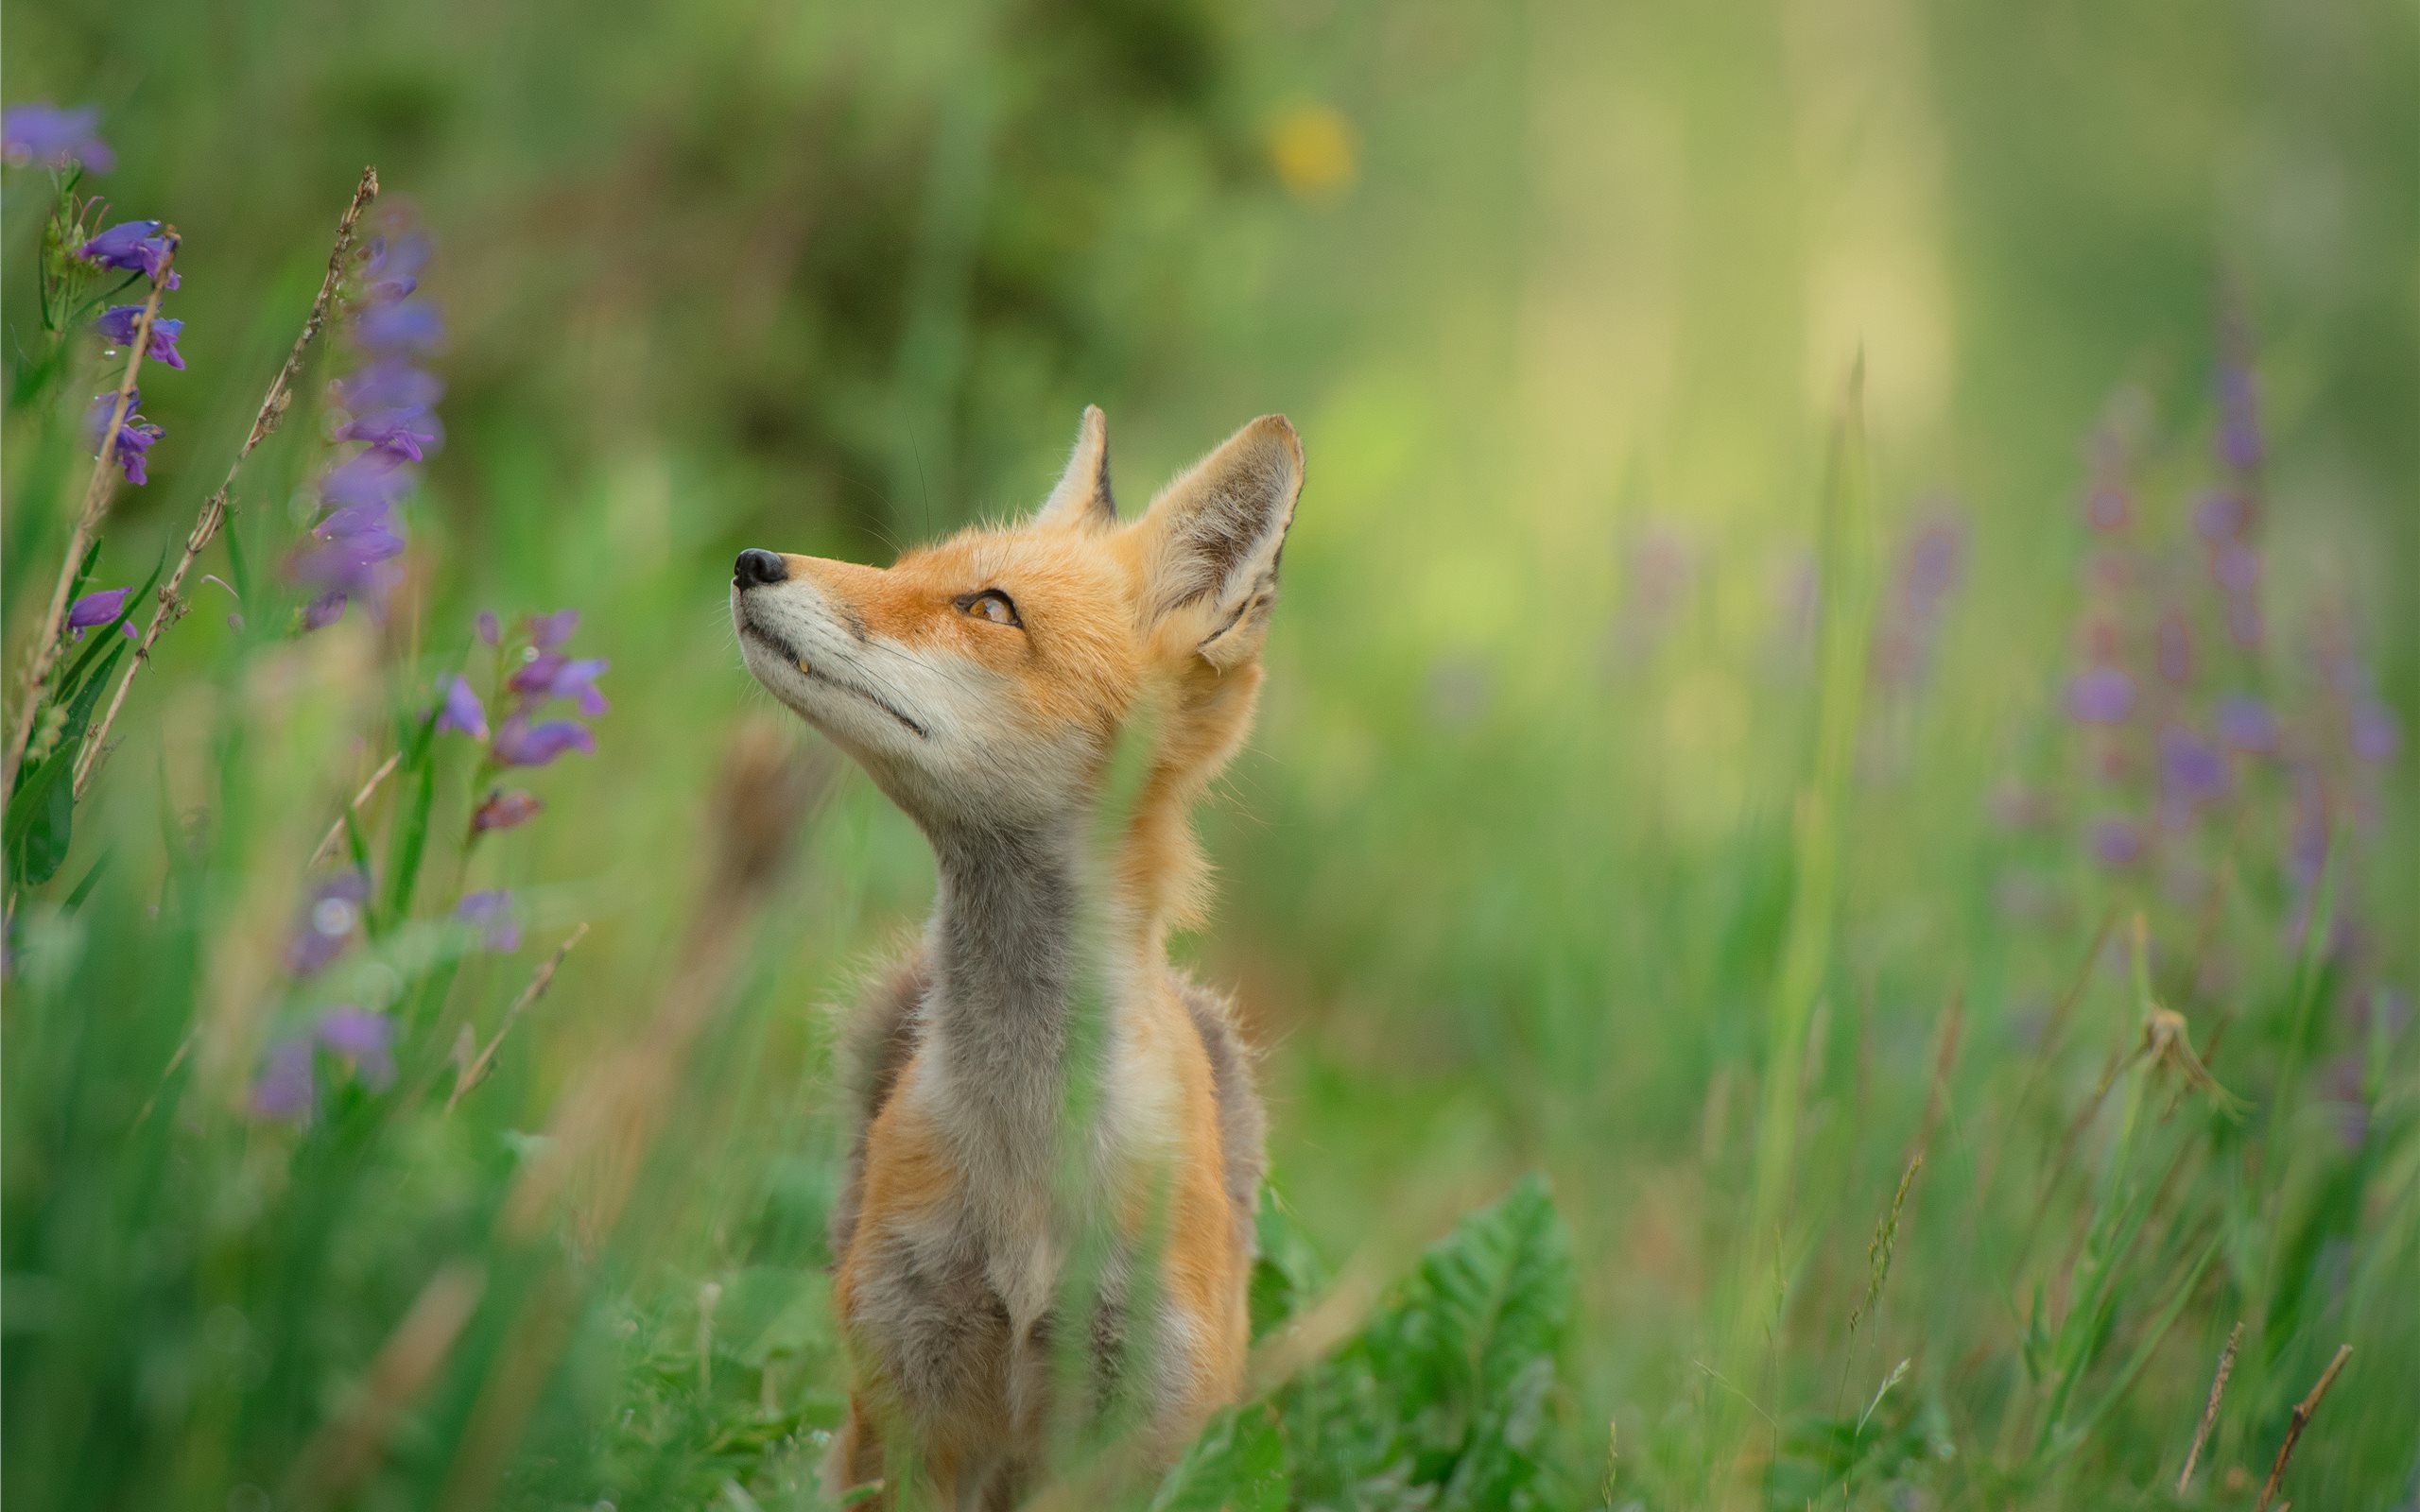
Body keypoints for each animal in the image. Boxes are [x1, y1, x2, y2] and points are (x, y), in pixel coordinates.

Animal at [728, 408, 1302, 1508]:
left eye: (988, 607)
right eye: (905, 565)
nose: (751, 560)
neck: (1029, 1166)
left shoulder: (1132, 1430)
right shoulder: (908, 1404)